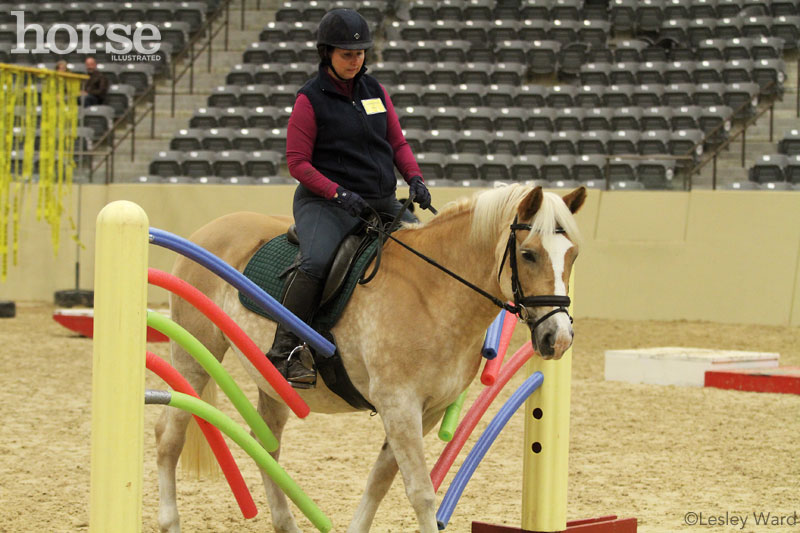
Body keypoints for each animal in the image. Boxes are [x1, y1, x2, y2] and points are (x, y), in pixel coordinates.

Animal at [153, 184, 584, 532]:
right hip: (194, 355)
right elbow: (421, 492)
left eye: (573, 257)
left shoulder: (424, 411)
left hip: (271, 385)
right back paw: (170, 520)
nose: (558, 338)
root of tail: (210, 229)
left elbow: (380, 480)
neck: (434, 292)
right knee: (169, 437)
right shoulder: (399, 404)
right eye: (528, 254)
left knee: (266, 445)